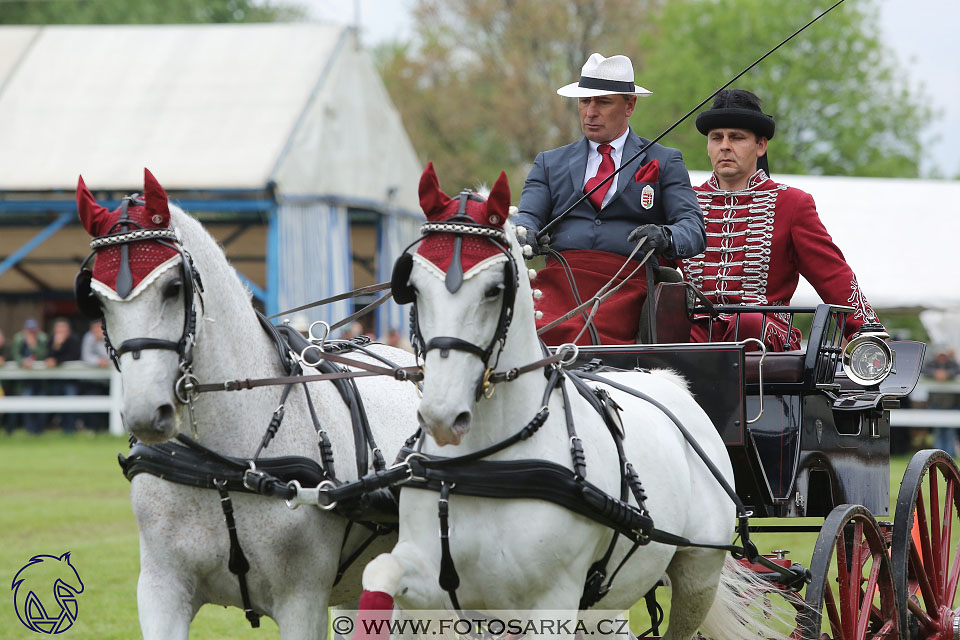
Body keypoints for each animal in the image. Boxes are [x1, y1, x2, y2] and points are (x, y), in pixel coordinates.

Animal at [76, 171, 420, 640]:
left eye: (174, 288)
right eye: (95, 299)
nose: (147, 413)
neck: (222, 465)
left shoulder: (301, 601)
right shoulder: (161, 590)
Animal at [360, 166, 788, 640]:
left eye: (494, 289)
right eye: (413, 287)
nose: (441, 415)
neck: (487, 462)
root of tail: (668, 380)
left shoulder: (553, 601)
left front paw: (653, 234)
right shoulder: (435, 584)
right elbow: (379, 581)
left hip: (698, 570)